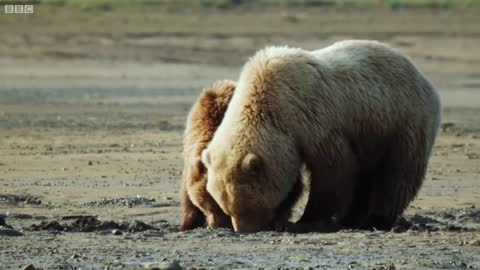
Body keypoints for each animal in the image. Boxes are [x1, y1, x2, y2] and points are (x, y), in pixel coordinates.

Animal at [201, 40, 440, 232]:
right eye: (226, 207)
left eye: (248, 207)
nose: (244, 229)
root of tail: (422, 76)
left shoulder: (313, 119)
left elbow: (332, 171)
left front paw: (306, 219)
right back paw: (352, 217)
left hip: (401, 121)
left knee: (398, 173)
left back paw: (376, 219)